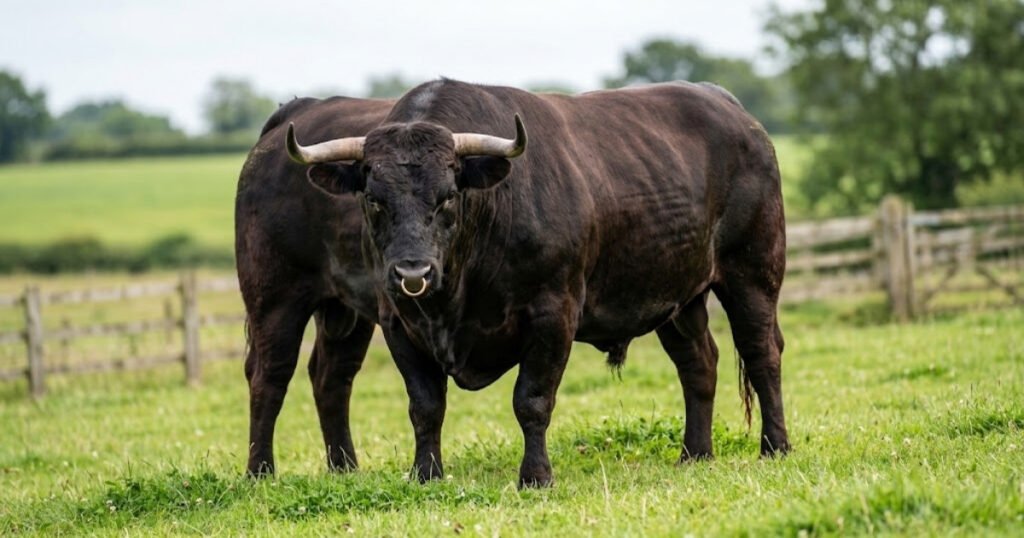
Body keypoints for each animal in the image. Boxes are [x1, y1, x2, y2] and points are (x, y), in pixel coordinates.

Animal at [235, 95, 392, 476]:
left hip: (349, 307)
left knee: (331, 375)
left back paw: (345, 467)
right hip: (275, 298)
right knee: (268, 374)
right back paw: (259, 471)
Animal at [284, 78, 791, 487]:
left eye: (448, 197)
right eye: (373, 199)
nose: (413, 273)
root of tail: (734, 112)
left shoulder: (553, 315)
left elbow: (531, 400)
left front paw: (535, 476)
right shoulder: (398, 323)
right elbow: (425, 405)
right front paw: (425, 474)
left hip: (753, 273)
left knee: (762, 352)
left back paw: (775, 446)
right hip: (678, 296)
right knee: (699, 362)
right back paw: (695, 454)